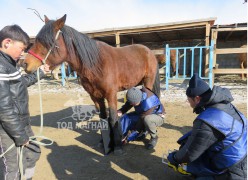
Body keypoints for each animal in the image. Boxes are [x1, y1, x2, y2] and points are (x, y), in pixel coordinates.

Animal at [22, 14, 160, 154]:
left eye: (47, 42)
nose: (24, 63)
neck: (96, 64)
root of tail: (149, 51)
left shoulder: (111, 95)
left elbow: (113, 118)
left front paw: (117, 146)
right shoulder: (95, 96)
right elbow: (103, 117)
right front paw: (104, 142)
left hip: (147, 82)